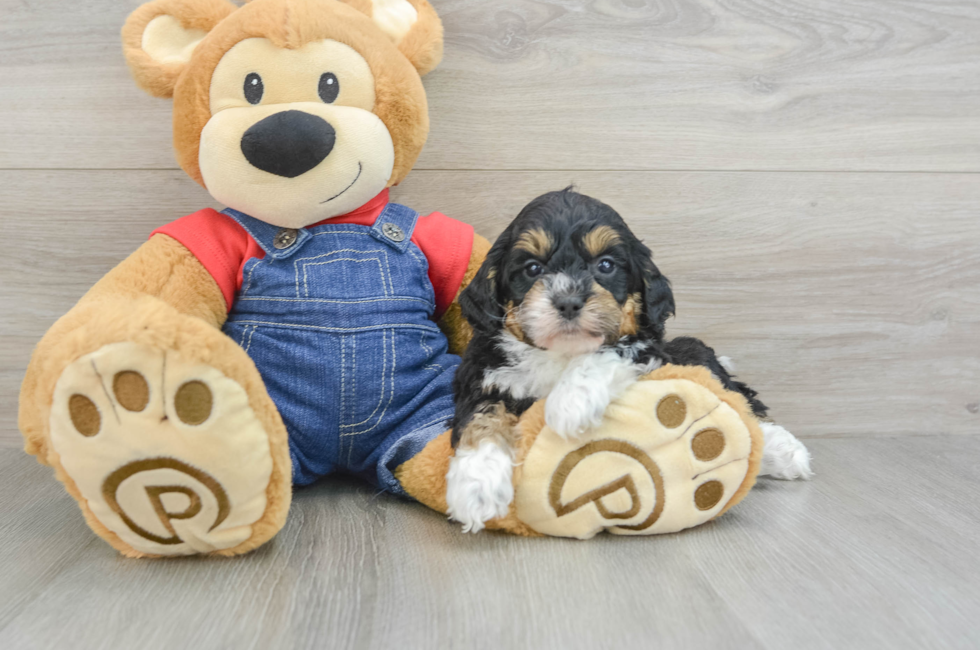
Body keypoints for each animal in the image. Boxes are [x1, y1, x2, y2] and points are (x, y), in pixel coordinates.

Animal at [446, 187, 812, 532]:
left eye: (606, 265)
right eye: (532, 268)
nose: (568, 301)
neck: (562, 353)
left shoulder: (648, 350)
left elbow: (612, 349)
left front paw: (570, 404)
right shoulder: (483, 376)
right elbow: (481, 419)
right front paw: (476, 486)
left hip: (693, 354)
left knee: (741, 401)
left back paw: (785, 452)